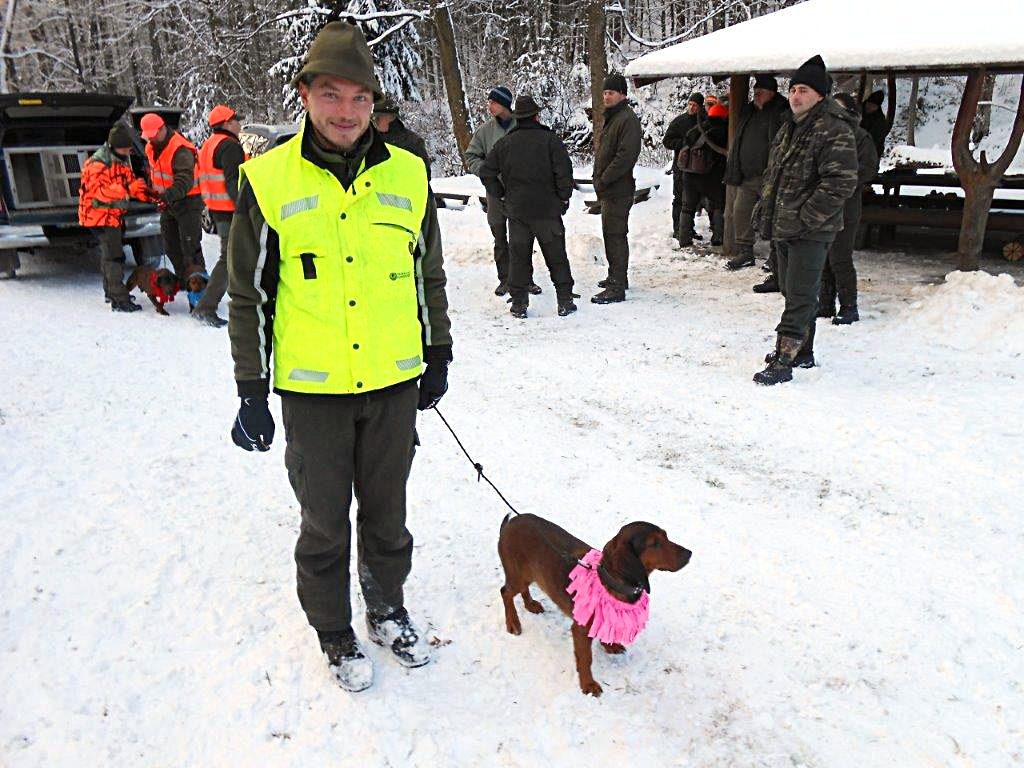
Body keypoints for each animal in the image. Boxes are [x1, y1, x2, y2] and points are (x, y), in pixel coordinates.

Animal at [493, 514, 688, 700]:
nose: (689, 553)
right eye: (654, 543)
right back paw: (513, 622)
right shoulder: (580, 629)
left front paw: (610, 645)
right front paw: (588, 684)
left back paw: (530, 604)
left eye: (666, 536)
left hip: (527, 575)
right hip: (517, 576)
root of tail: (510, 523)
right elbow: (586, 659)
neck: (609, 580)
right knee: (505, 592)